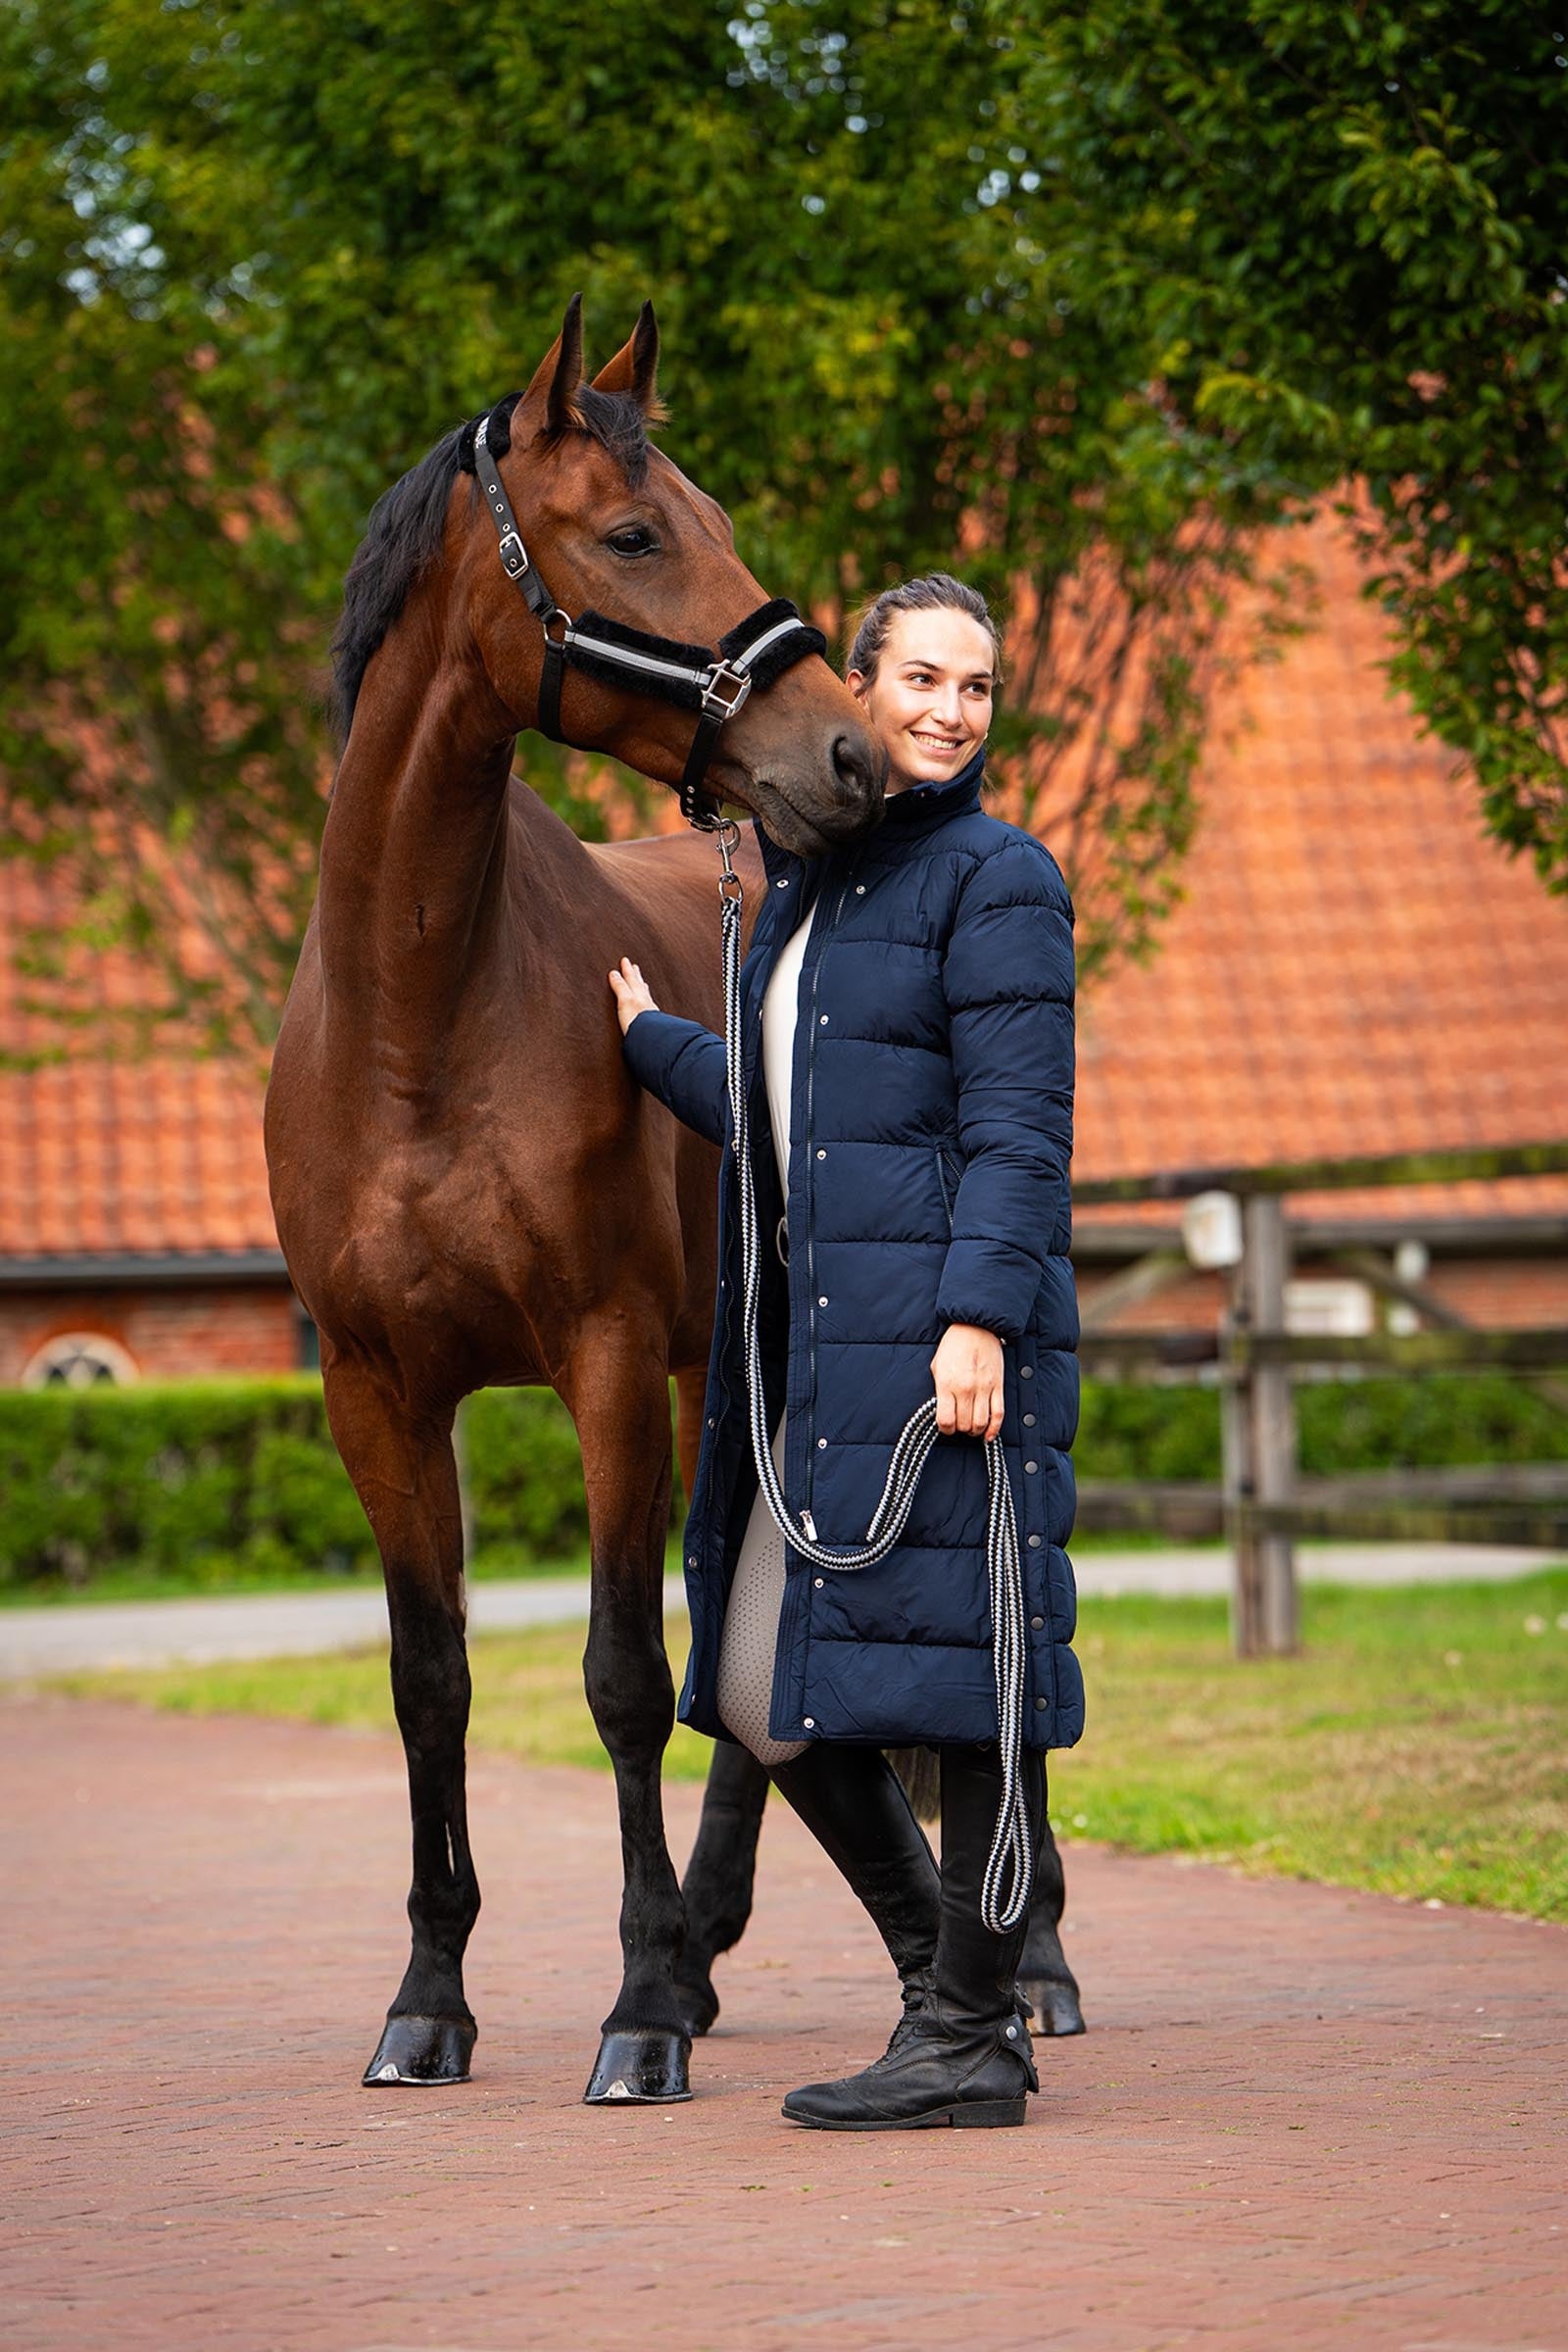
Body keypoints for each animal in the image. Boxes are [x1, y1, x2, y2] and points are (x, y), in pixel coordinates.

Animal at [264, 298, 883, 2105]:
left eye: (716, 517)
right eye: (633, 535)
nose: (850, 754)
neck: (417, 1017)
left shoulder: (600, 1362)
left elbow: (619, 1674)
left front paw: (641, 2007)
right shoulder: (378, 1393)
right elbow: (433, 1681)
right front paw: (429, 2000)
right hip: (726, 1376)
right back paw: (720, 1929)